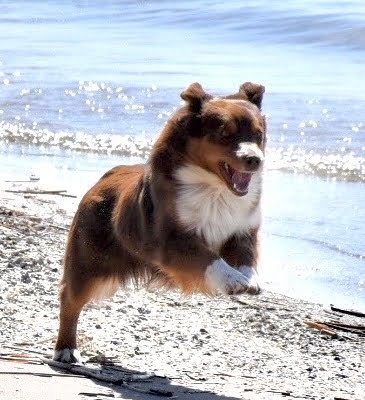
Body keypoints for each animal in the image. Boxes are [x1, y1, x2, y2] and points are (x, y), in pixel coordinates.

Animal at [53, 81, 264, 362]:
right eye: (224, 134)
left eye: (258, 135)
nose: (255, 160)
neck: (214, 189)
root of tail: (105, 177)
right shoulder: (170, 241)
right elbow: (208, 258)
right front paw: (233, 280)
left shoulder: (242, 231)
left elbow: (245, 257)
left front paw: (249, 279)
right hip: (88, 259)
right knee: (71, 298)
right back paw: (65, 348)